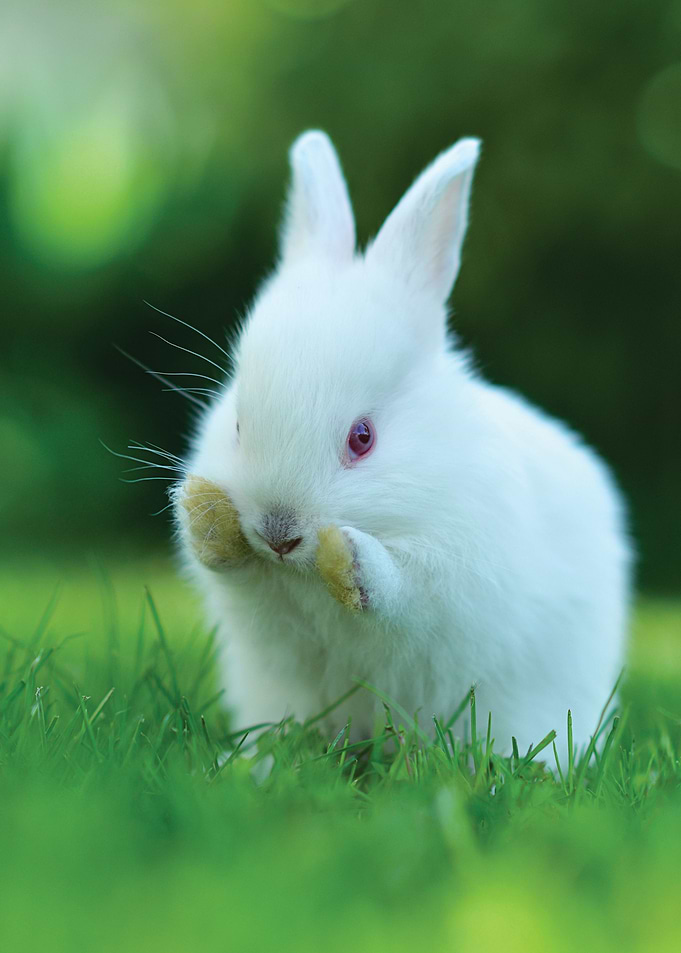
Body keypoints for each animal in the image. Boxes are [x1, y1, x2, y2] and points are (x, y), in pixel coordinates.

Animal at [172, 130, 632, 759]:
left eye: (362, 438)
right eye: (239, 425)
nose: (278, 535)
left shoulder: (451, 576)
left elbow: (399, 592)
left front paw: (351, 558)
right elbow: (240, 579)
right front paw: (207, 518)